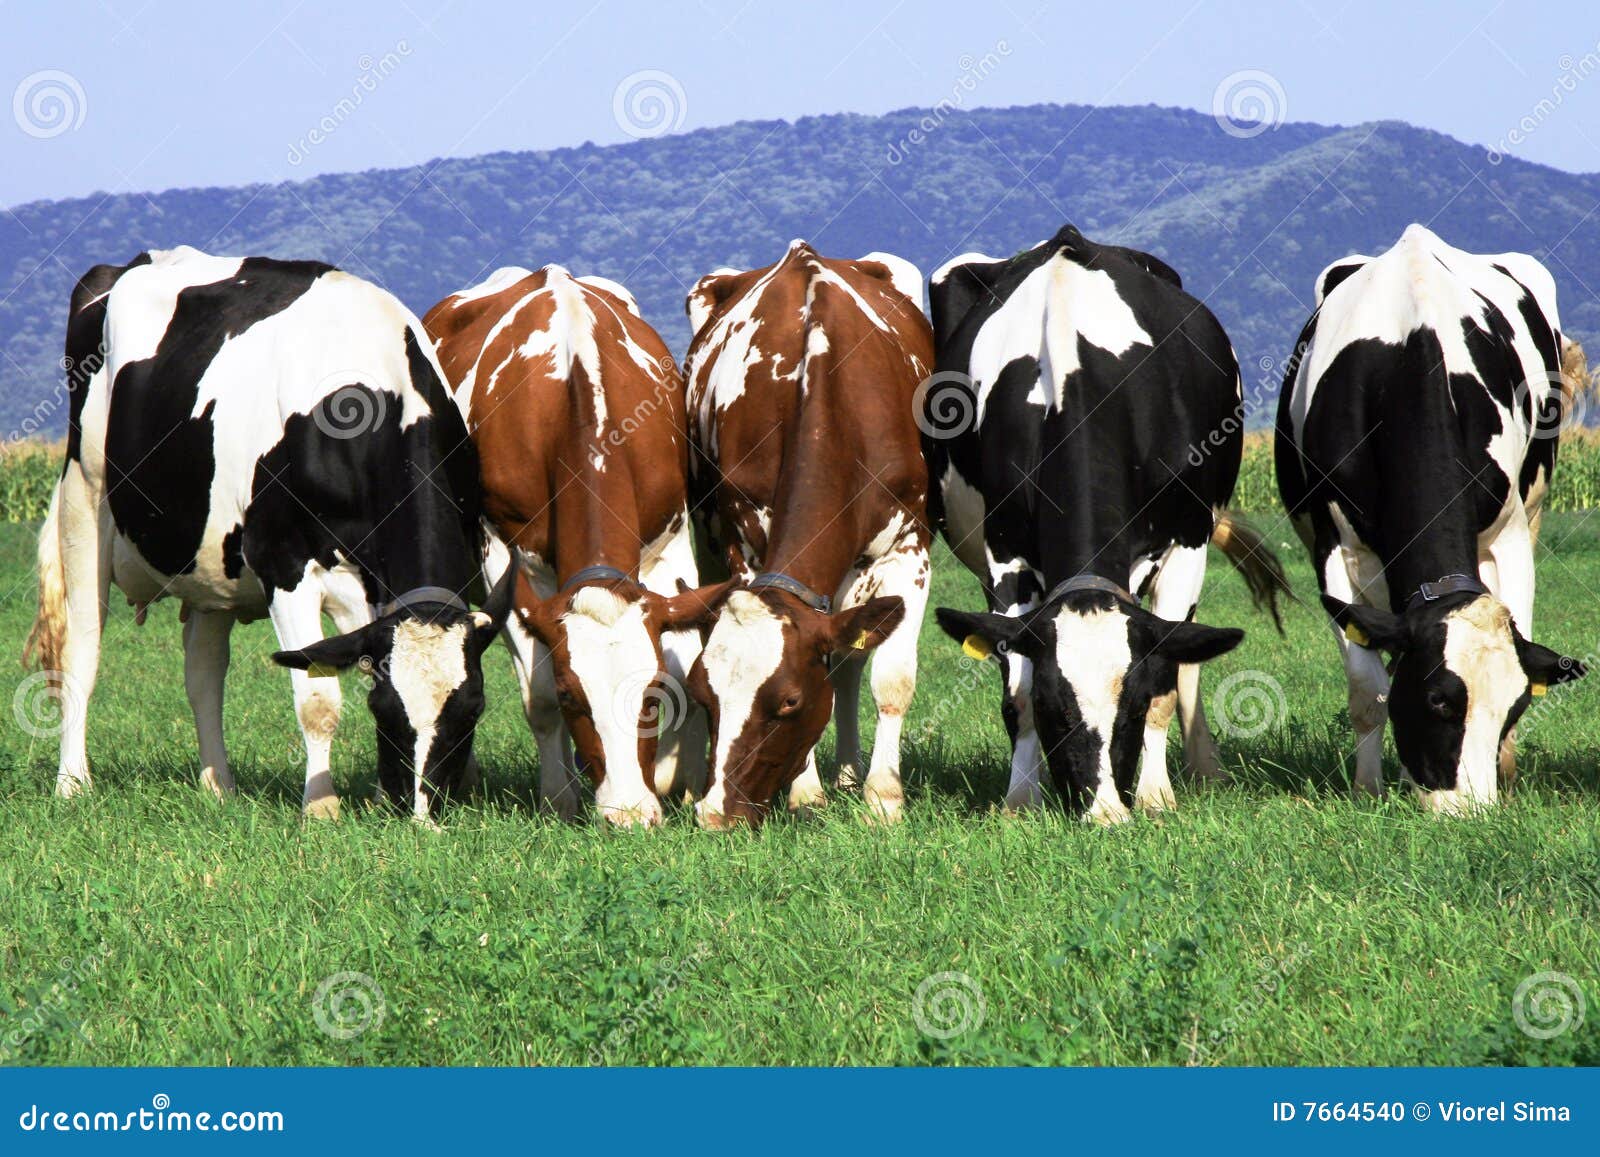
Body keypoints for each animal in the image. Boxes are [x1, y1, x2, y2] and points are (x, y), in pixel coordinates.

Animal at [25, 244, 512, 825]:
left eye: (473, 710)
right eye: (385, 711)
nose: (423, 820)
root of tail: (132, 262)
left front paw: (378, 797)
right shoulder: (286, 564)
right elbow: (319, 700)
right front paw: (321, 811)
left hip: (210, 561)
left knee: (203, 671)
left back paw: (220, 786)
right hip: (85, 498)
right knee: (83, 647)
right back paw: (73, 783)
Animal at [425, 264, 726, 825]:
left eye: (651, 697)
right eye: (573, 699)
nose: (628, 817)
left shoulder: (671, 541)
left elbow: (687, 659)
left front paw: (679, 782)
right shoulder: (506, 558)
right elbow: (538, 697)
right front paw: (558, 799)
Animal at [681, 240, 934, 825]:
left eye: (789, 701)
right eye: (705, 695)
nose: (716, 814)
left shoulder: (908, 550)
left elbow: (891, 677)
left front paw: (883, 797)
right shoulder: (743, 545)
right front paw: (806, 791)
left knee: (848, 664)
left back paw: (850, 775)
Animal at [928, 224, 1286, 825]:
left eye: (1132, 706)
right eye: (1055, 707)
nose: (1105, 812)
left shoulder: (1187, 543)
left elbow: (1169, 675)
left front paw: (1156, 796)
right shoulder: (1004, 551)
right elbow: (1015, 685)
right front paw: (1020, 801)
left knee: (1188, 657)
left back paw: (1203, 769)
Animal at [1273, 222, 1587, 809]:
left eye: (1515, 706)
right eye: (1439, 700)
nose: (1471, 811)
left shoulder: (1510, 535)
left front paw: (1504, 774)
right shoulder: (1335, 546)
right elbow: (1368, 689)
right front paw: (1369, 788)